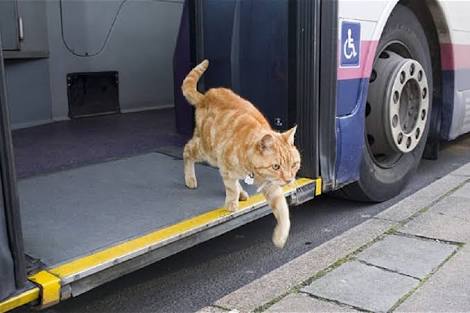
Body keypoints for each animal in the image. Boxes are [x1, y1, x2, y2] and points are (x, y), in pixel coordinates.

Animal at [182, 59, 300, 247]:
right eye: (276, 166)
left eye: (294, 165)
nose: (289, 180)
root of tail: (206, 96)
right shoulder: (227, 166)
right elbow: (230, 187)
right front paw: (231, 203)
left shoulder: (271, 186)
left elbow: (283, 210)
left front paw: (280, 236)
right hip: (207, 151)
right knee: (187, 150)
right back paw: (190, 179)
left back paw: (242, 192)